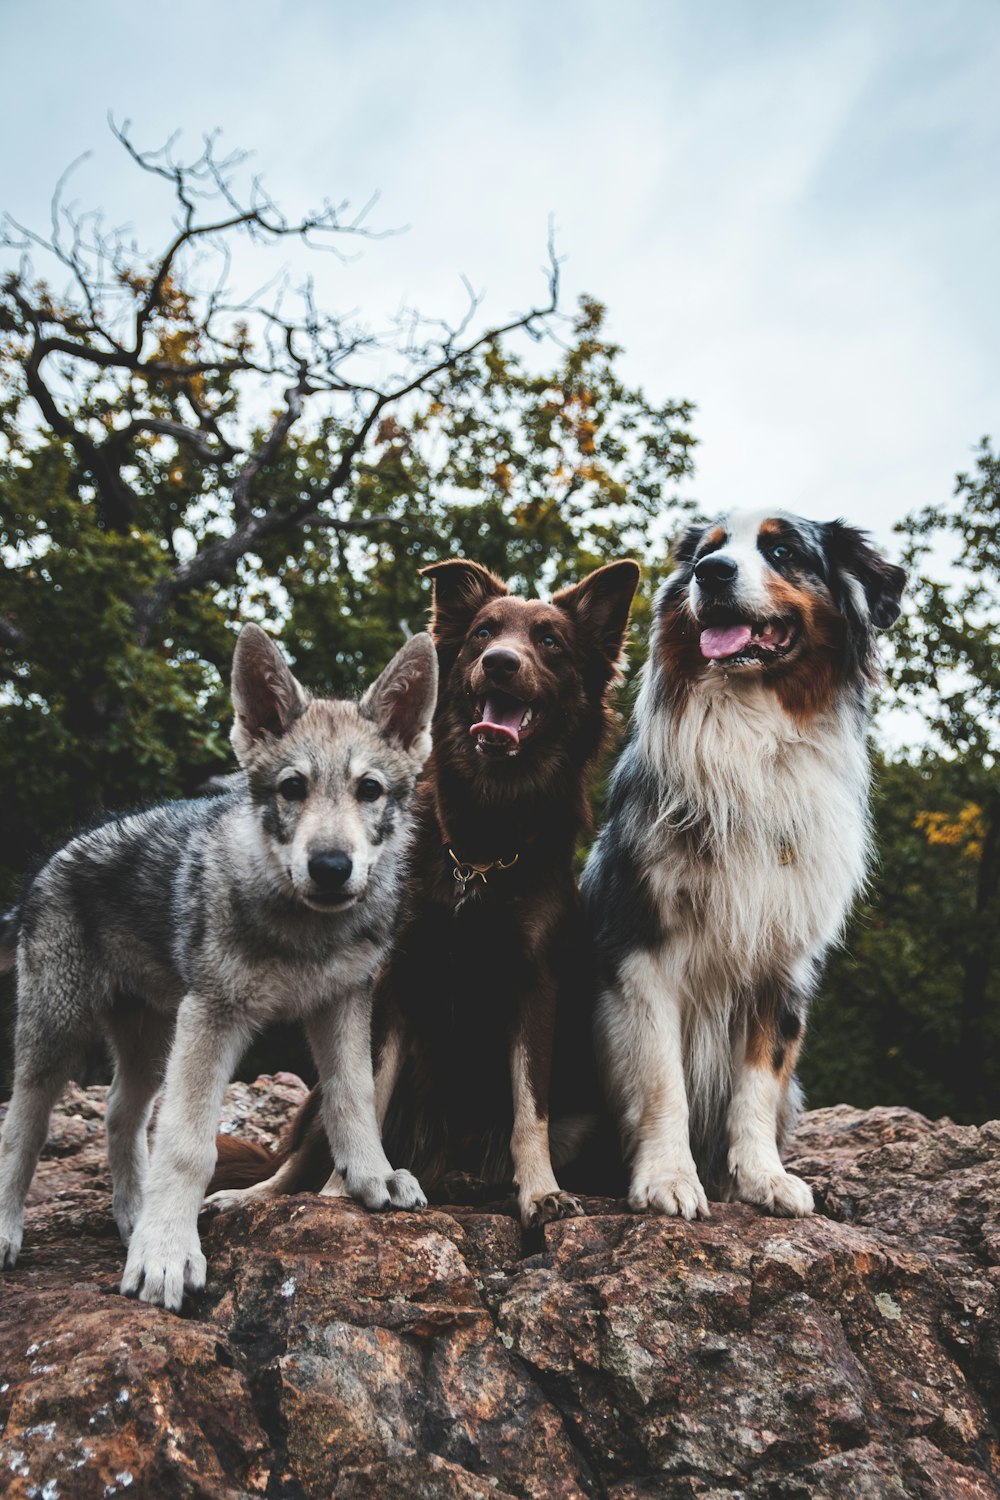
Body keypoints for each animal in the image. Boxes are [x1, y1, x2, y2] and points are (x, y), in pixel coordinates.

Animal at [209, 558, 641, 1224]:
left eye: (549, 642)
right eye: (484, 632)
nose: (500, 662)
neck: (481, 847)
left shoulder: (536, 984)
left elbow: (530, 1110)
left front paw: (540, 1192)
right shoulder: (394, 977)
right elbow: (366, 1100)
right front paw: (341, 1193)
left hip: (589, 1115)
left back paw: (473, 1183)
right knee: (301, 1151)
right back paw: (254, 1194)